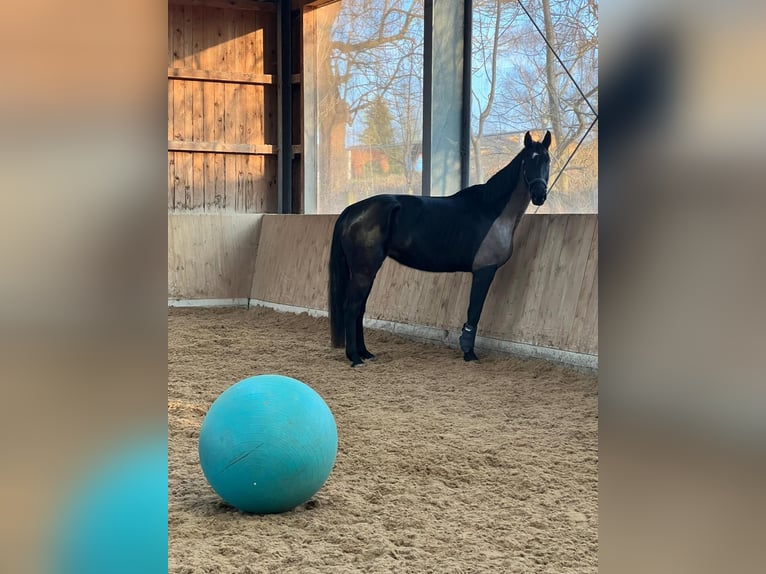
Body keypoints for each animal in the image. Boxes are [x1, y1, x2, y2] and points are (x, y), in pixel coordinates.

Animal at [328, 130, 552, 367]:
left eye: (547, 160)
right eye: (527, 161)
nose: (539, 195)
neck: (492, 211)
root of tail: (352, 210)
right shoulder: (484, 271)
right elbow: (474, 311)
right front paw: (469, 353)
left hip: (364, 272)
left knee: (359, 309)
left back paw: (365, 353)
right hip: (364, 271)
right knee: (352, 309)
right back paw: (354, 357)